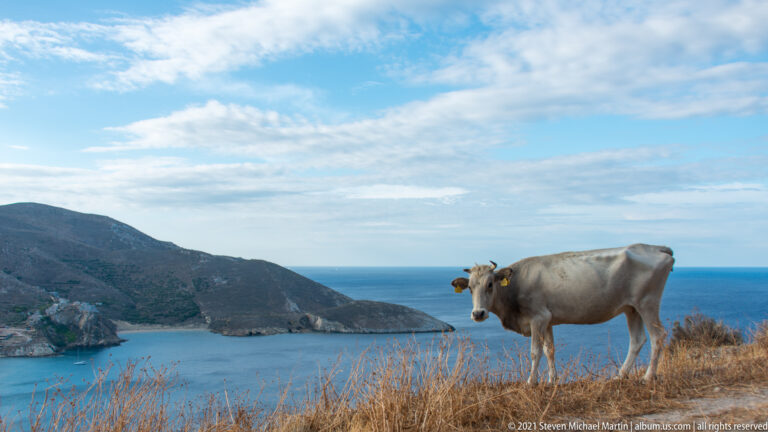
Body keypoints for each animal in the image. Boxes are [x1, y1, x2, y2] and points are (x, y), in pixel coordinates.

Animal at [451, 244, 674, 385]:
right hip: (632, 308)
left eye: (490, 284)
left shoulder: (538, 317)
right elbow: (550, 349)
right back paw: (620, 376)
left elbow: (535, 351)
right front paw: (552, 380)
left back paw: (647, 377)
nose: (478, 313)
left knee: (657, 336)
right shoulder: (548, 320)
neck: (514, 286)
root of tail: (654, 247)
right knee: (637, 340)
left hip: (648, 302)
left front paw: (531, 381)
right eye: (470, 287)